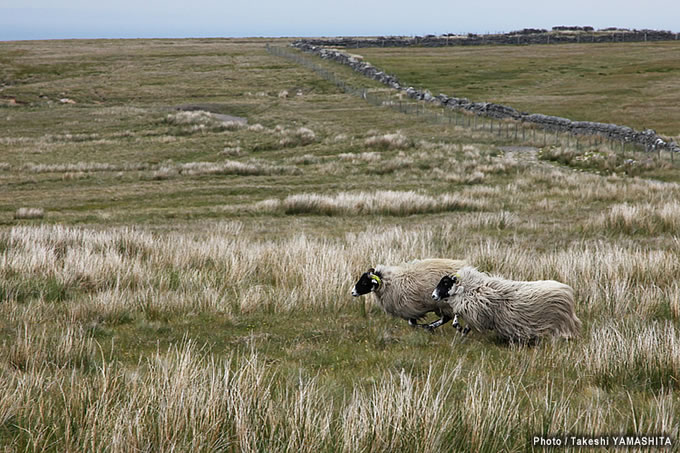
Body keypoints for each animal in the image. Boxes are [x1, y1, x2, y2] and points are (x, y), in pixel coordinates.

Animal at [432, 264, 580, 342]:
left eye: (445, 282)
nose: (433, 296)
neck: (471, 287)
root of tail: (567, 290)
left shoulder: (478, 311)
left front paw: (460, 330)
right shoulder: (474, 310)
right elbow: (459, 319)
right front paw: (461, 332)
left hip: (559, 322)